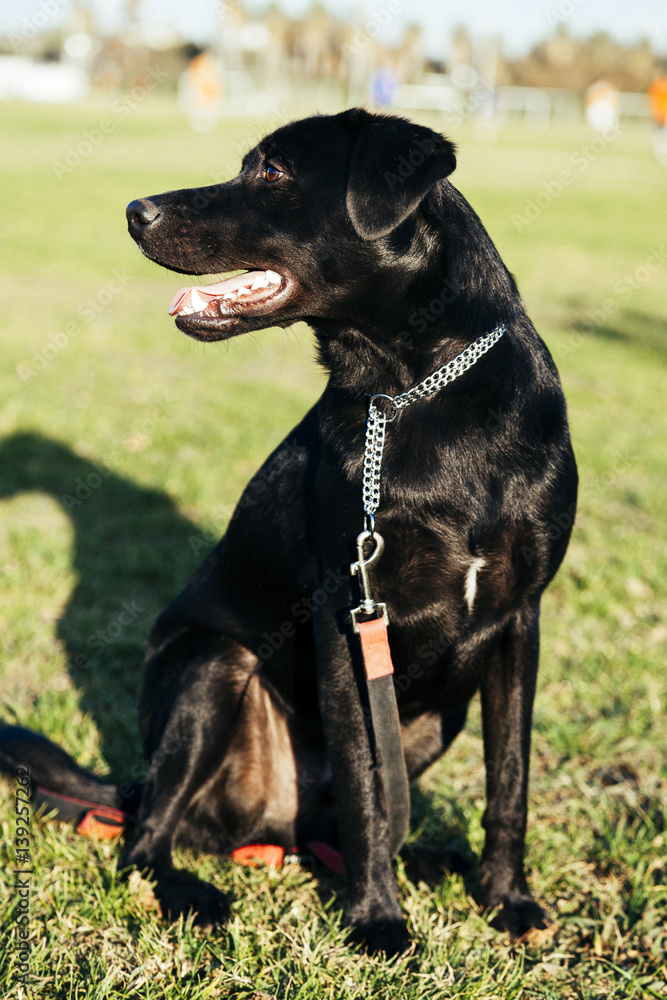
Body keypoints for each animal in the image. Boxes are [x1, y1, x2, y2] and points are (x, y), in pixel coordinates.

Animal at [0, 109, 576, 952]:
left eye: (272, 172)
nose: (135, 210)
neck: (411, 392)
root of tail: (273, 828)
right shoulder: (347, 620)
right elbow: (370, 794)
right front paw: (376, 920)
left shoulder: (516, 624)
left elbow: (509, 780)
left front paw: (505, 898)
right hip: (214, 665)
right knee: (147, 838)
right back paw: (191, 892)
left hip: (438, 712)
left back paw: (423, 858)